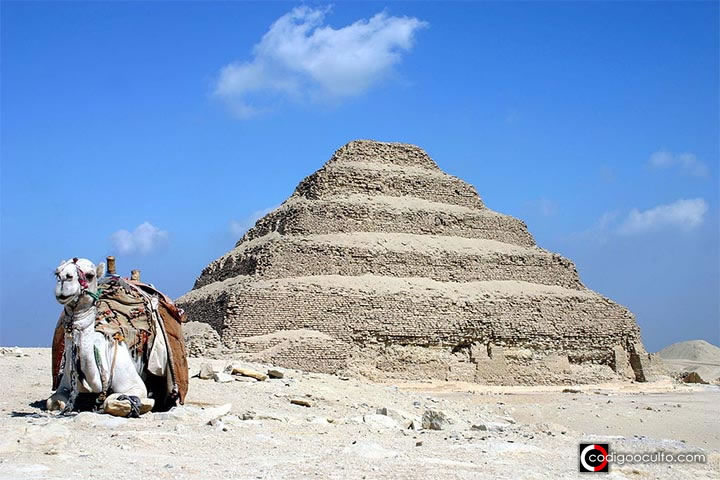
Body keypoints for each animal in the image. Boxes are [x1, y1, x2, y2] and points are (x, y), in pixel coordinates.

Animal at [47, 258, 187, 416]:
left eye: (90, 275)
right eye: (57, 273)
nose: (64, 279)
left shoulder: (134, 385)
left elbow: (111, 401)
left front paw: (144, 405)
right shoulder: (63, 385)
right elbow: (53, 402)